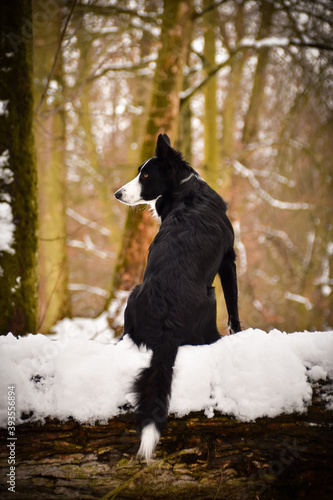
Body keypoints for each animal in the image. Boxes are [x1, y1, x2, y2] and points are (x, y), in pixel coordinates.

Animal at [115, 133, 240, 460]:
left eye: (146, 174)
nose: (117, 194)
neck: (186, 189)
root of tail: (166, 329)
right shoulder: (228, 260)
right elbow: (234, 310)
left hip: (133, 295)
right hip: (211, 298)